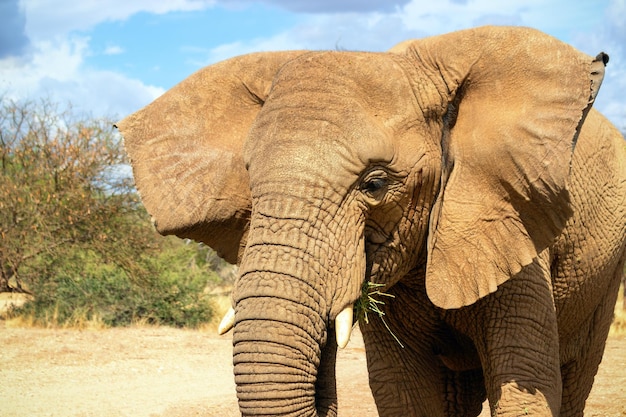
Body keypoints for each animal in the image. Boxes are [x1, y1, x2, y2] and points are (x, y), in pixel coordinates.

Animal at [116, 26, 624, 416]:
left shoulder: (506, 216)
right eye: (247, 178)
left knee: (575, 374)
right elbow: (405, 393)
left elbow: (525, 384)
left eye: (375, 184)